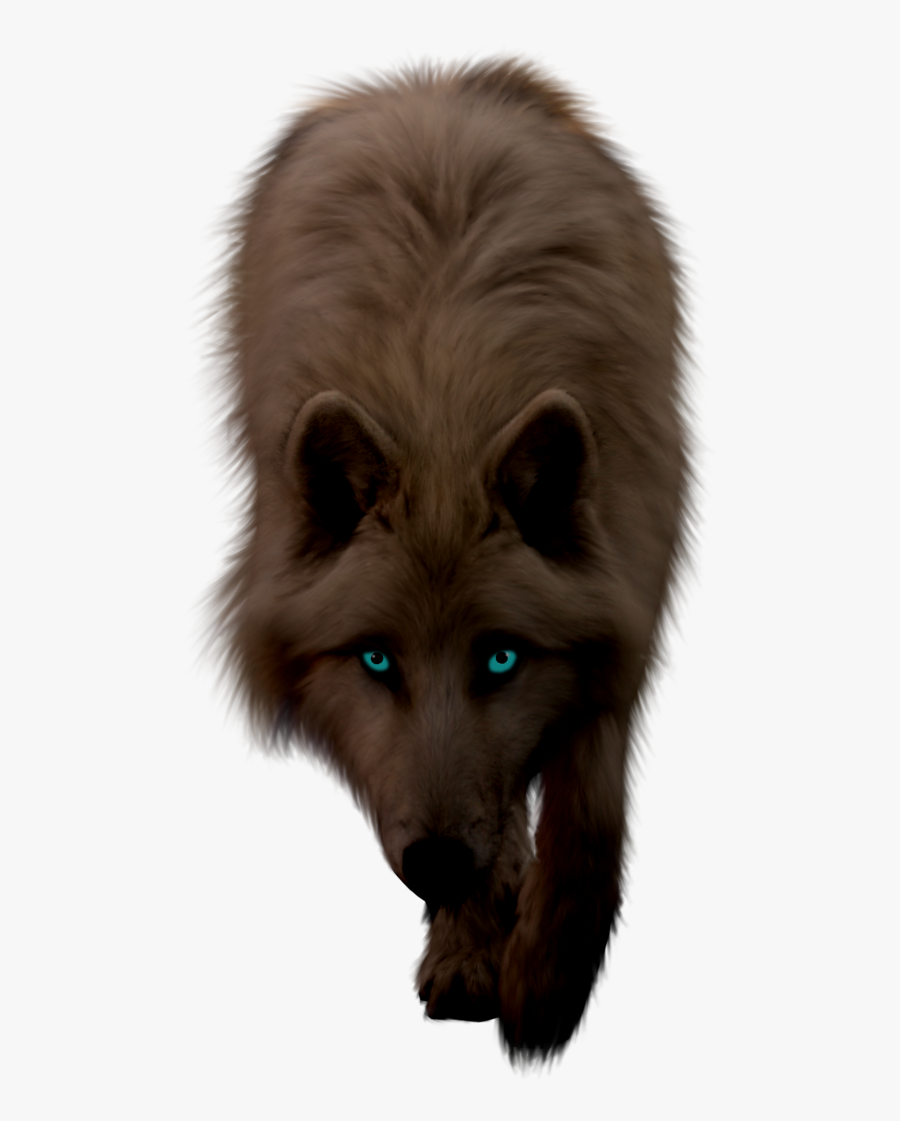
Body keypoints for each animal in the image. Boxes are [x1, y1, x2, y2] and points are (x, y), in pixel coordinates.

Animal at [215, 60, 688, 1058]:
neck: (446, 405)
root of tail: (428, 81)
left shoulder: (627, 590)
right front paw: (478, 946)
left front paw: (545, 985)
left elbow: (587, 807)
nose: (435, 861)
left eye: (502, 657)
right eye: (375, 659)